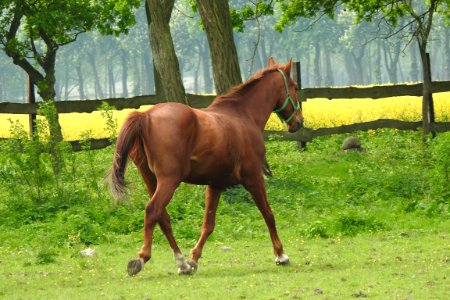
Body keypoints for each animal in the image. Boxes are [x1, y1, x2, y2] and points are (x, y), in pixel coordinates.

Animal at [110, 57, 304, 276]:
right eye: (294, 87)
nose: (299, 122)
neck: (243, 116)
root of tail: (146, 116)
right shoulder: (254, 178)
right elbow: (268, 214)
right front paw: (281, 255)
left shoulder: (215, 184)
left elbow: (208, 224)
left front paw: (194, 259)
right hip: (169, 181)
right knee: (153, 210)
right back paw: (141, 259)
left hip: (150, 180)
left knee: (163, 217)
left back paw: (182, 263)